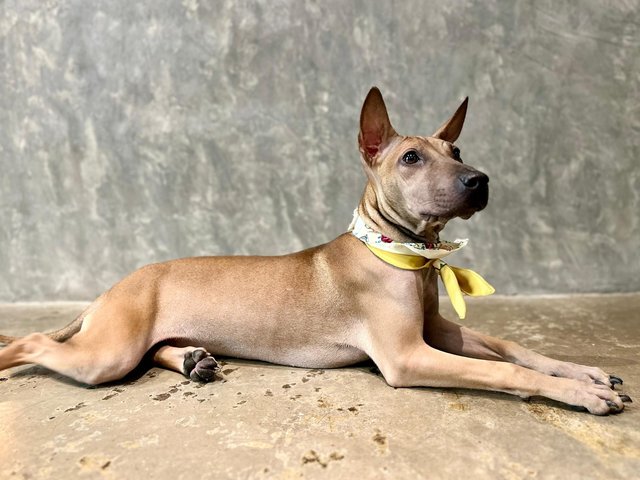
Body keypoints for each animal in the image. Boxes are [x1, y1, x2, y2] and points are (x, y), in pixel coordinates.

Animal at [0, 88, 632, 414]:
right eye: (411, 158)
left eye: (456, 149)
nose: (479, 181)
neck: (401, 254)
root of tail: (110, 289)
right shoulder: (408, 355)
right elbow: (499, 371)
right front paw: (578, 392)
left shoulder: (435, 331)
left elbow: (510, 347)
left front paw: (582, 372)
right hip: (106, 352)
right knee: (34, 342)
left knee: (154, 350)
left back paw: (192, 360)